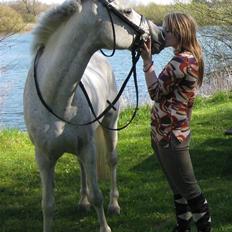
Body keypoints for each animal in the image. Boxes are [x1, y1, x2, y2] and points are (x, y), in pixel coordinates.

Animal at [23, 0, 164, 232]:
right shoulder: (43, 158)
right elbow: (48, 205)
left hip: (109, 124)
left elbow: (98, 195)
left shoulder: (88, 148)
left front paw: (105, 226)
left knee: (112, 161)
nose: (158, 33)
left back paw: (114, 204)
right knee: (81, 169)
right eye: (127, 10)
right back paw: (83, 201)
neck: (56, 98)